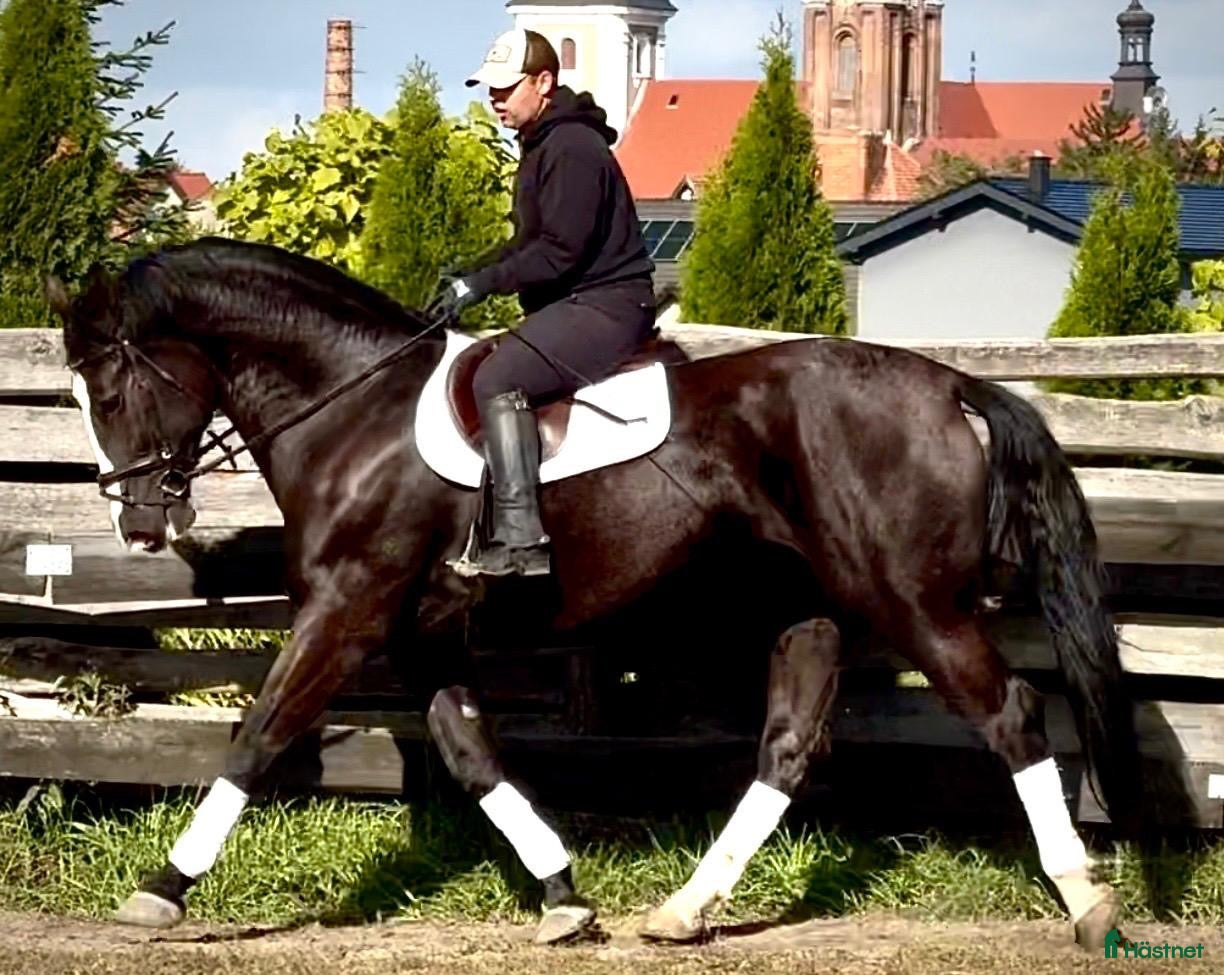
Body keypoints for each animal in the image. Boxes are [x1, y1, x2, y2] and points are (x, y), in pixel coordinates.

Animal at [46, 235, 1143, 950]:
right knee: (788, 748)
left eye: (112, 389)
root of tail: (950, 385)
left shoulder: (347, 612)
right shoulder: (420, 634)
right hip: (812, 606)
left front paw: (162, 890)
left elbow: (258, 734)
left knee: (1011, 715)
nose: (137, 524)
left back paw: (1085, 900)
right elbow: (471, 751)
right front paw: (564, 894)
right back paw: (684, 910)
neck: (354, 410)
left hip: (918, 604)